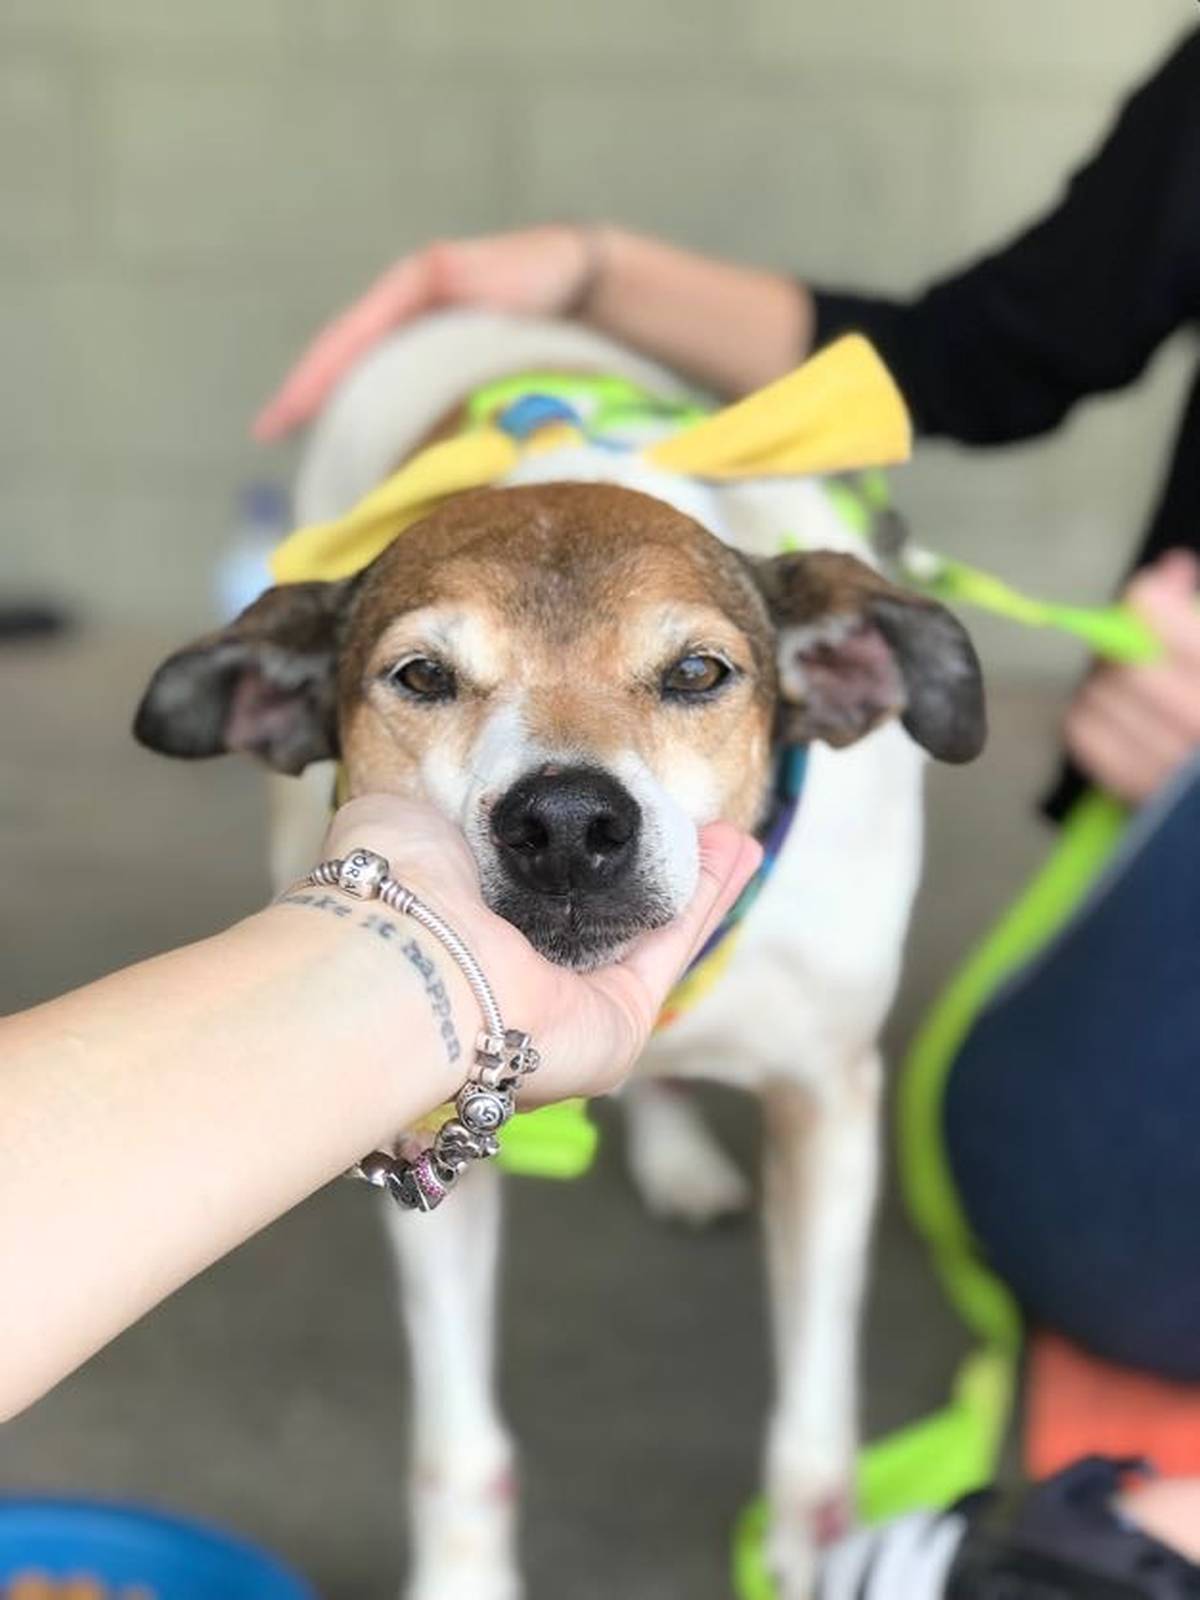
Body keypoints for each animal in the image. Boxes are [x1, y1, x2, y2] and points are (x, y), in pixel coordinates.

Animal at [134, 310, 985, 1600]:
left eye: (699, 672)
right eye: (422, 676)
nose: (570, 823)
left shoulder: (828, 1097)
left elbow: (815, 1414)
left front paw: (805, 1547)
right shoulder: (423, 1146)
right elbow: (459, 1448)